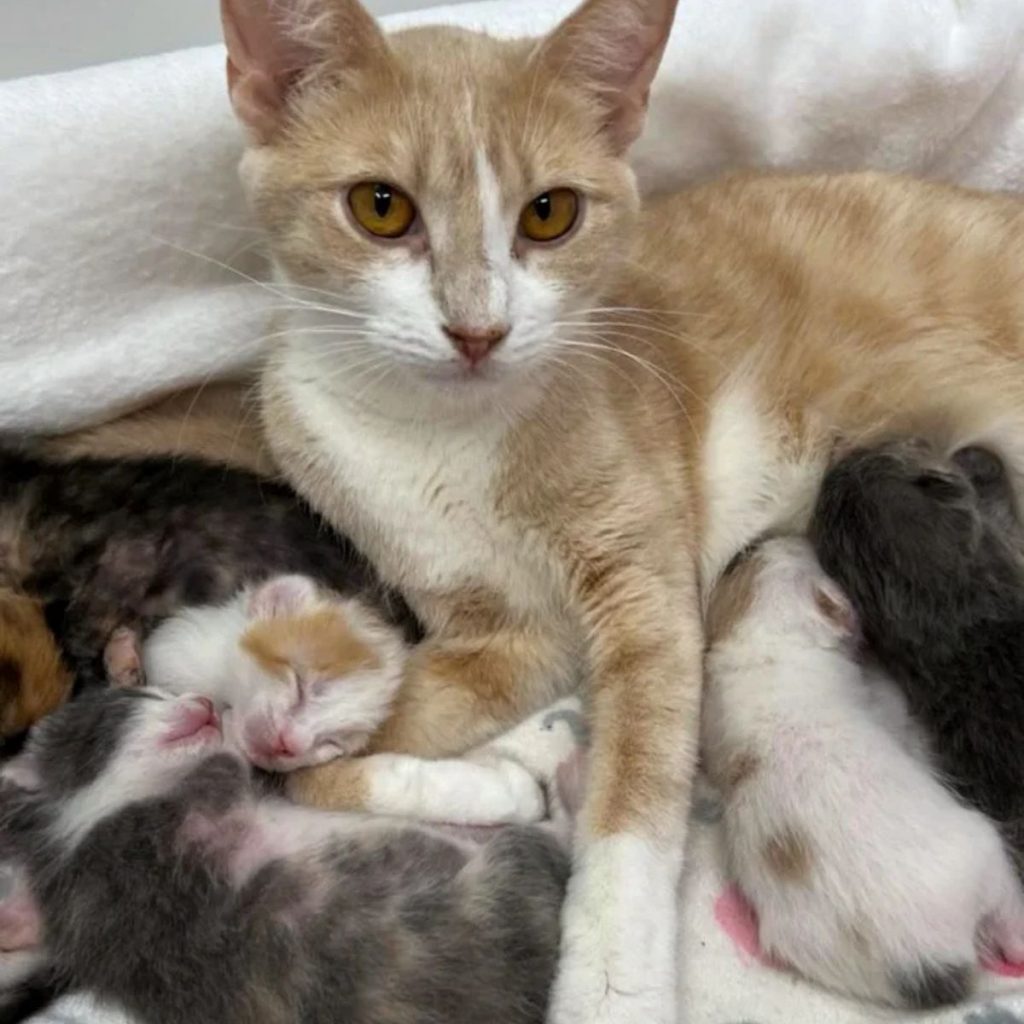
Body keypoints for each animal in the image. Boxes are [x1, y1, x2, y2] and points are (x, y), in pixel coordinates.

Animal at [0, 688, 573, 1024]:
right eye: (129, 703)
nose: (204, 701)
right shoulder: (144, 852)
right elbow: (225, 766)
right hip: (513, 884)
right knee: (544, 851)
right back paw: (572, 786)